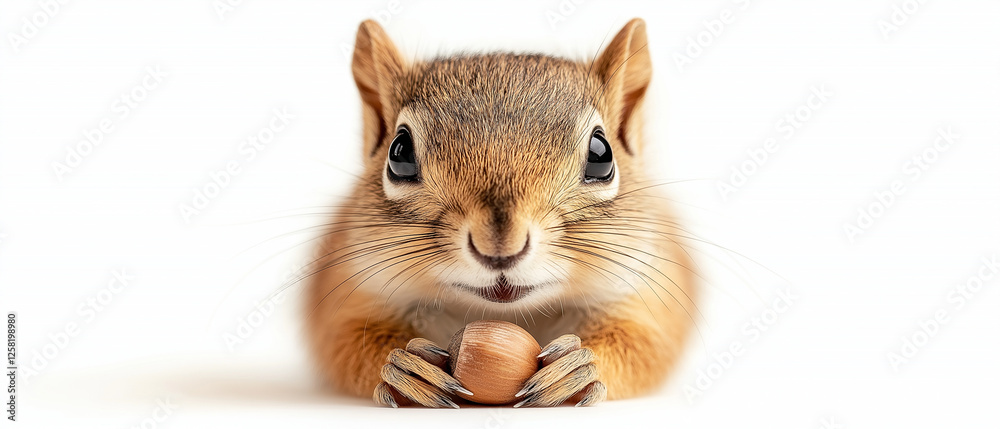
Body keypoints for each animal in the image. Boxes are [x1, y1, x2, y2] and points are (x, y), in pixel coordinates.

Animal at [305, 18, 696, 408]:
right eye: (399, 153)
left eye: (602, 156)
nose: (500, 246)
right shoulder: (348, 288)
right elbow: (346, 345)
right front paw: (403, 367)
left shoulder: (647, 288)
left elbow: (644, 346)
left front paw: (581, 366)